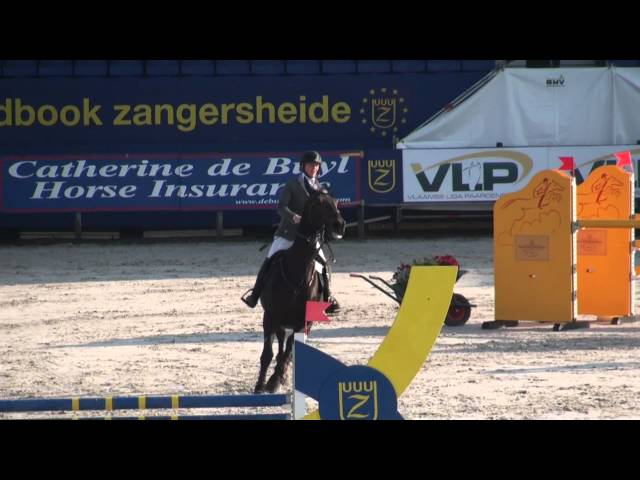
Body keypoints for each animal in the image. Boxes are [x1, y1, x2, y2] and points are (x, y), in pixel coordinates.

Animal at [254, 189, 346, 394]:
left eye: (336, 202)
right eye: (318, 203)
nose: (340, 225)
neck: (297, 275)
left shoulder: (304, 323)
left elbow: (289, 351)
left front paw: (275, 381)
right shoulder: (269, 317)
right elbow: (267, 353)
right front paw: (260, 385)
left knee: (286, 349)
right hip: (279, 321)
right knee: (280, 342)